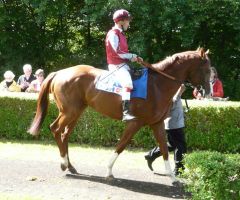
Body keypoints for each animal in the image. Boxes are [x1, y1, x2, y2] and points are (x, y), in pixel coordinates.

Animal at [29, 47, 211, 180]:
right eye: (208, 70)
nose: (208, 91)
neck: (157, 85)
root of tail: (59, 73)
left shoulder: (157, 123)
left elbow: (165, 148)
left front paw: (172, 177)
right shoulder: (135, 122)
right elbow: (121, 145)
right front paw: (109, 170)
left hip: (76, 112)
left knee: (65, 134)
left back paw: (70, 166)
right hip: (69, 112)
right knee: (55, 129)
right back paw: (63, 164)